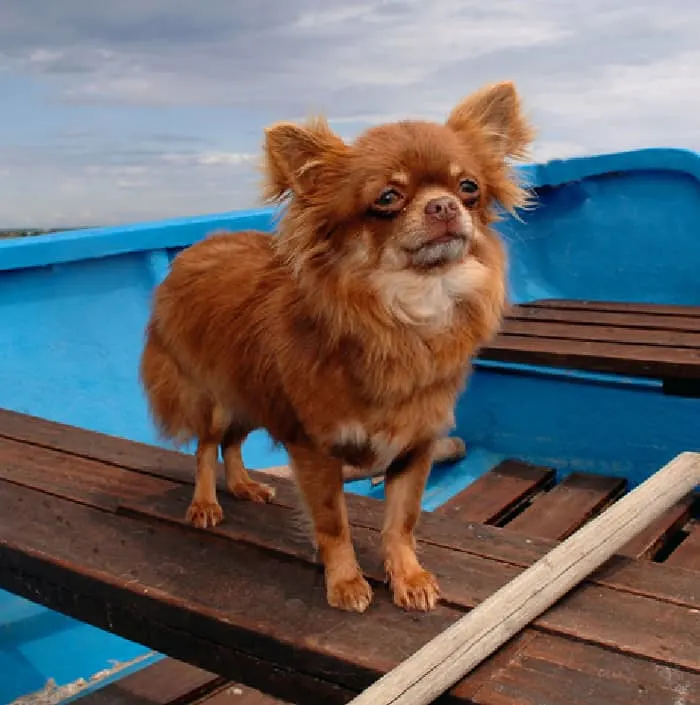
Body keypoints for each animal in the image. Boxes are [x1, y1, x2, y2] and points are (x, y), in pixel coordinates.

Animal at [141, 81, 536, 612]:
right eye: (388, 197)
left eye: (469, 187)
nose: (443, 206)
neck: (410, 308)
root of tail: (195, 249)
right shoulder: (315, 449)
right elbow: (334, 525)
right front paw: (346, 582)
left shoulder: (415, 445)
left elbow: (401, 521)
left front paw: (407, 577)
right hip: (216, 398)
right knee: (206, 446)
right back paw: (205, 502)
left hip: (253, 395)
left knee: (231, 444)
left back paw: (243, 484)